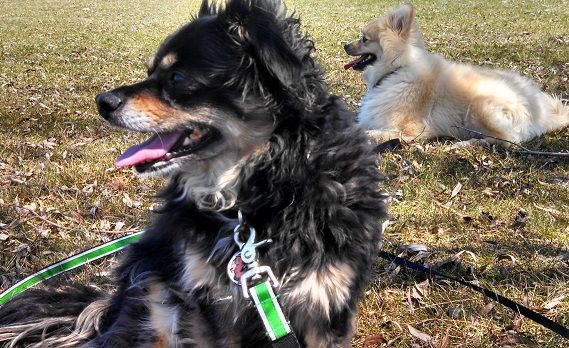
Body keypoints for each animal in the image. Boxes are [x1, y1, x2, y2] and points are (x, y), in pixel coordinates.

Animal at [0, 1, 386, 346]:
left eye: (176, 76)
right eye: (151, 71)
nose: (102, 102)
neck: (261, 198)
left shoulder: (326, 309)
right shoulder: (213, 311)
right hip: (155, 300)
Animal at [344, 3, 564, 144]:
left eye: (364, 39)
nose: (345, 45)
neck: (397, 69)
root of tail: (541, 111)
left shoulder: (410, 130)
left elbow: (368, 133)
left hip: (480, 105)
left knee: (508, 140)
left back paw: (464, 143)